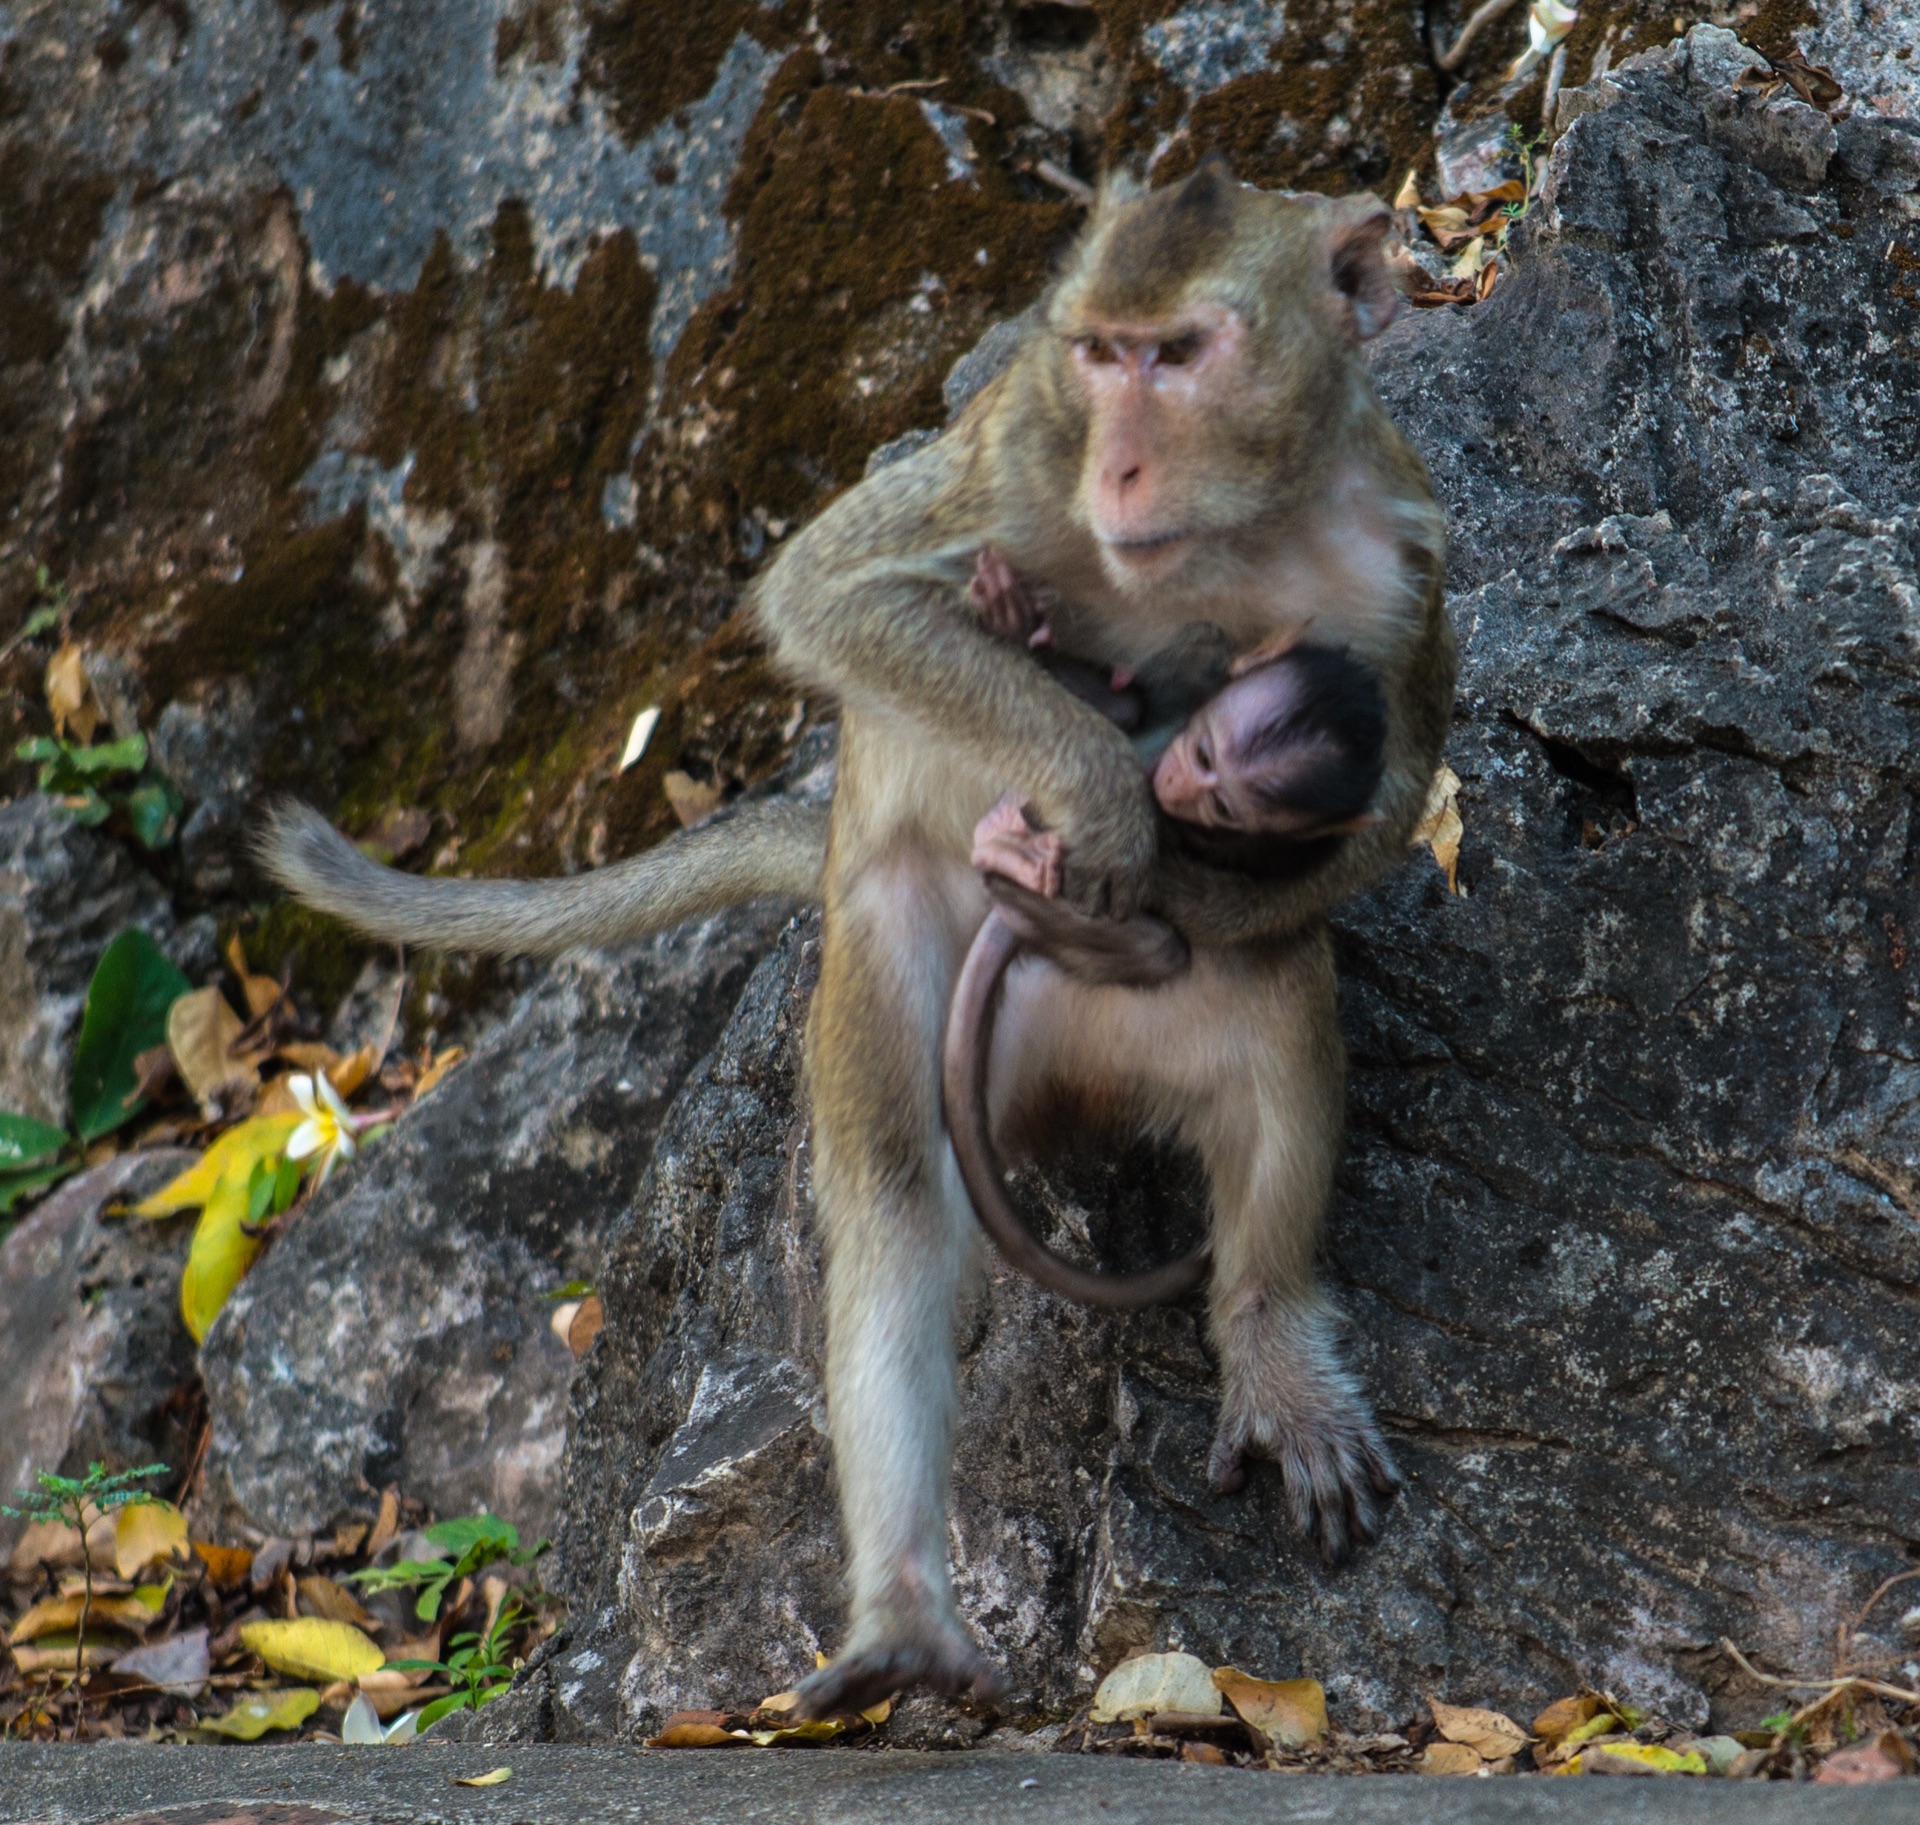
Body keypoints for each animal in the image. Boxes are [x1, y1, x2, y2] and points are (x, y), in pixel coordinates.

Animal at [967, 548, 1390, 898]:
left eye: (1221, 807)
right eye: (1203, 755)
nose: (1173, 785)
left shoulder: (1269, 848)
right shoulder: (1200, 669)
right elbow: (1129, 705)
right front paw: (1013, 619)